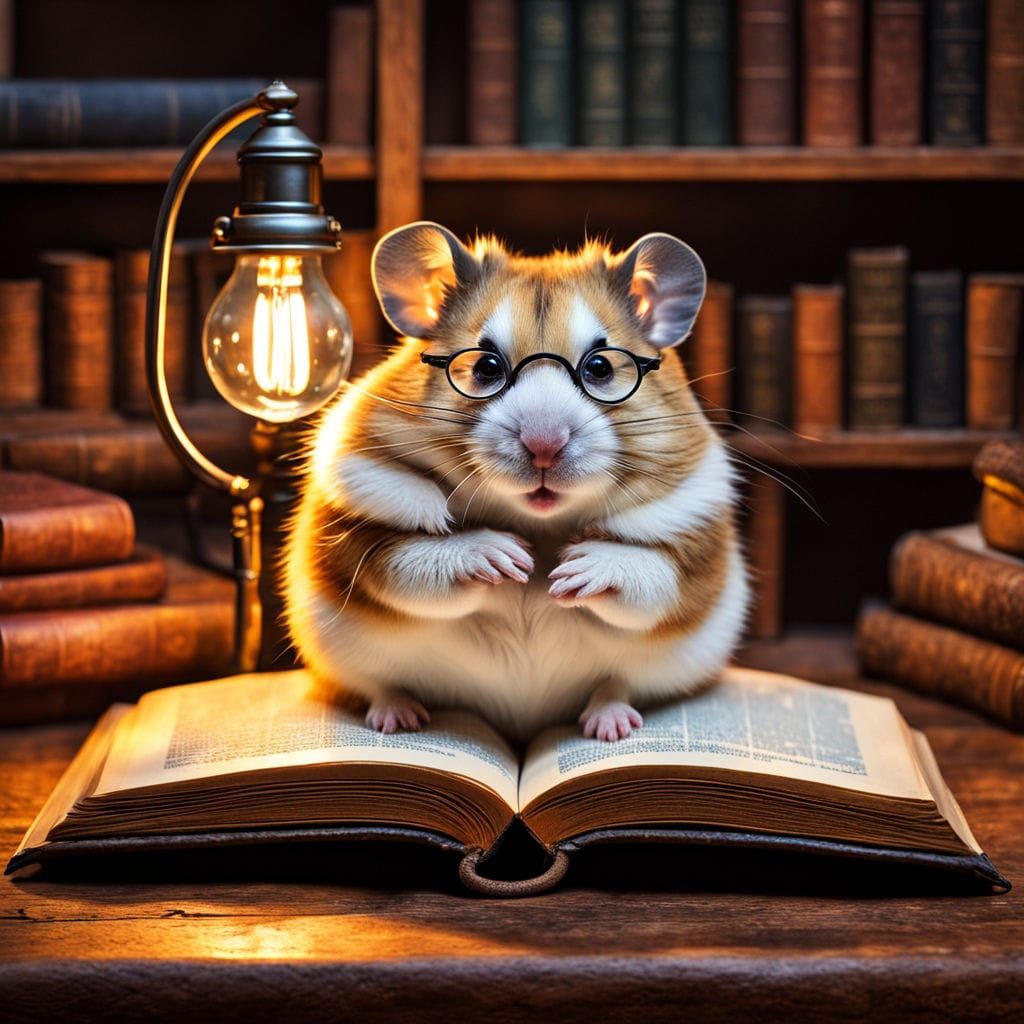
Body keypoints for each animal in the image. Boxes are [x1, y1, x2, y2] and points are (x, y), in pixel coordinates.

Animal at [283, 222, 750, 743]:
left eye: (600, 367)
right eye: (486, 367)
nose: (544, 445)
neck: (538, 522)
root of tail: (522, 724)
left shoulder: (694, 553)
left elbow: (649, 576)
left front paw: (570, 572)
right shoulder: (363, 532)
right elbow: (412, 562)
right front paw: (507, 561)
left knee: (618, 683)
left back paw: (609, 725)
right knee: (380, 684)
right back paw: (399, 717)